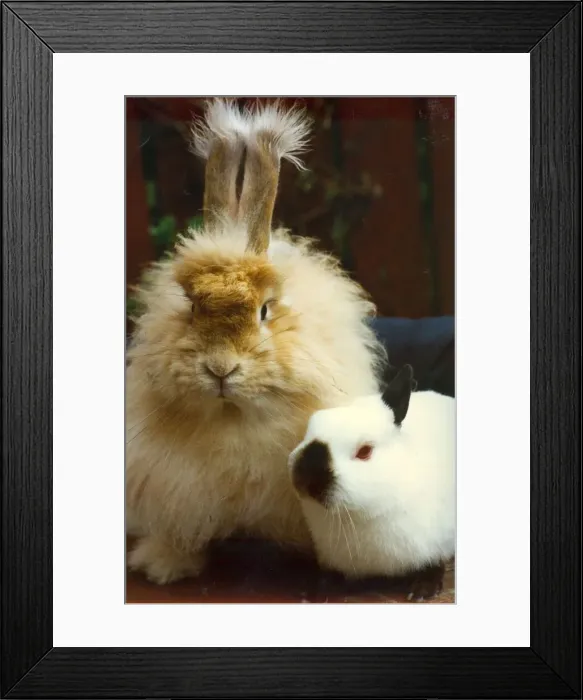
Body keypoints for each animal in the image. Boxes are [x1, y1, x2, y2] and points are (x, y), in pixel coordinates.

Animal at [288, 364, 455, 600]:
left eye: (365, 451)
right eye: (309, 430)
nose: (306, 476)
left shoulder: (438, 542)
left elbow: (434, 564)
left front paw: (422, 590)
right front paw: (315, 590)